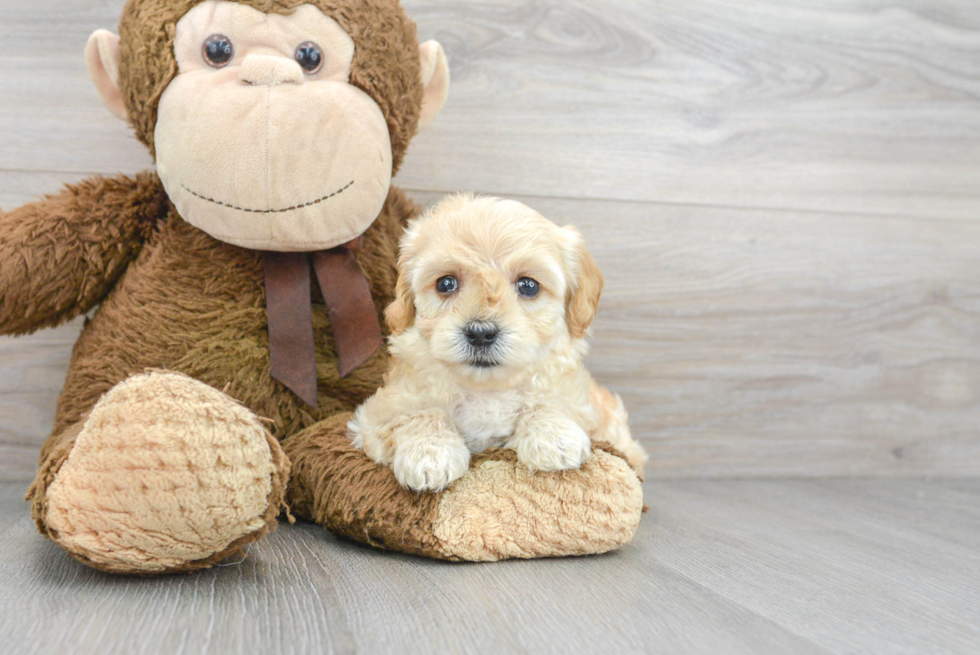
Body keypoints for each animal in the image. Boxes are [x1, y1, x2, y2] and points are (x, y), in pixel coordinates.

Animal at [348, 195, 648, 492]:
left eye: (528, 286)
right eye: (446, 283)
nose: (481, 333)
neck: (487, 389)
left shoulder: (587, 408)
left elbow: (551, 401)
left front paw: (554, 437)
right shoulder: (378, 413)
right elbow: (418, 412)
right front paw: (429, 453)